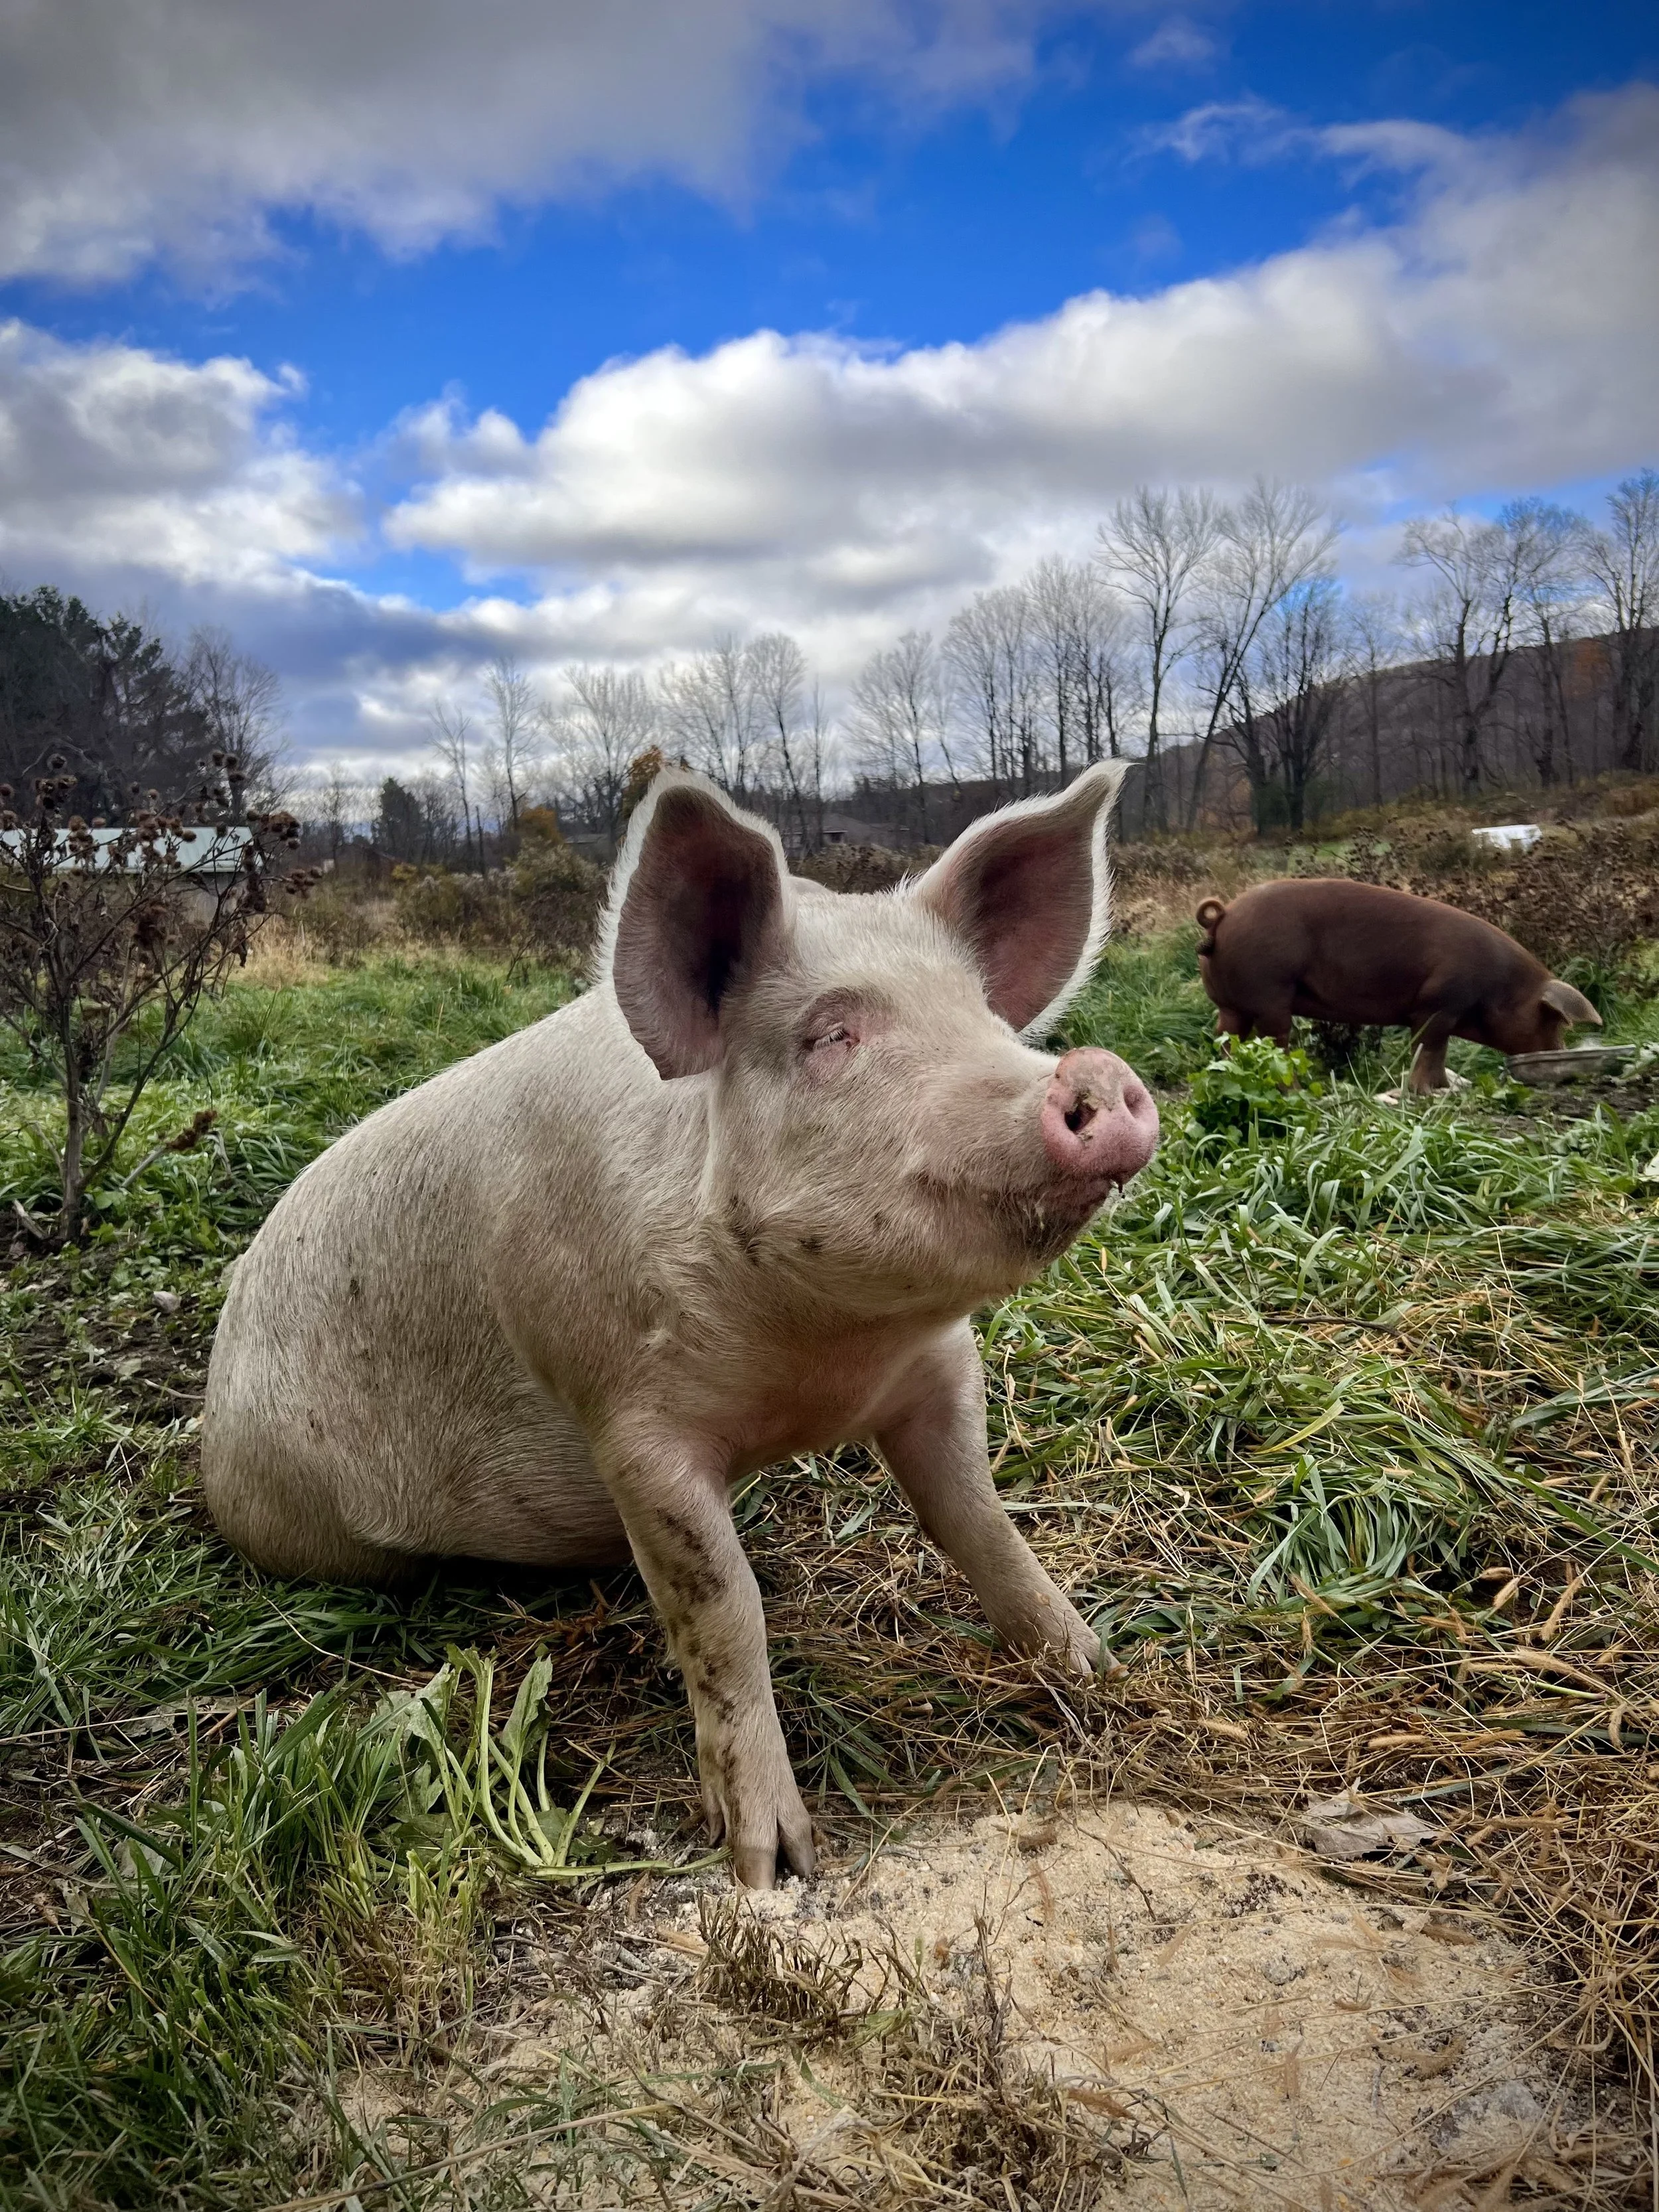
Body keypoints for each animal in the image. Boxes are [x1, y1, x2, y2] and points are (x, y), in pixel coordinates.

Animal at [202, 763, 1159, 1887]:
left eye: (982, 1017)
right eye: (831, 1037)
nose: (1088, 1071)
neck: (815, 1364)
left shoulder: (939, 1375)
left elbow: (981, 1523)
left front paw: (1099, 1671)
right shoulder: (625, 1419)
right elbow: (721, 1608)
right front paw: (775, 1866)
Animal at [1194, 878, 1601, 1091]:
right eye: (1552, 1019)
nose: (1560, 1052)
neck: (1499, 989)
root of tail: (1224, 916)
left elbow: (1437, 1051)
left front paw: (1444, 1089)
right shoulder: (1439, 1004)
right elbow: (1430, 1047)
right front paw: (1424, 1092)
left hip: (1230, 1004)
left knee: (1226, 1040)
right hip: (1271, 994)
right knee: (1275, 1044)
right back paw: (1297, 1091)